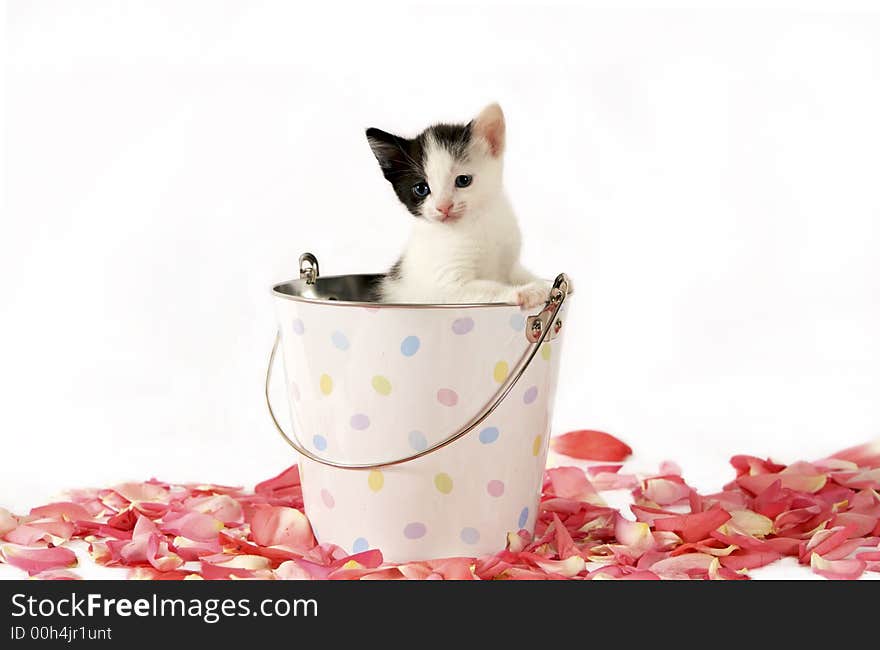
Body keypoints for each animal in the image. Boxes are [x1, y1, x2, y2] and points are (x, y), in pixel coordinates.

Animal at [364, 103, 552, 308]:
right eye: (421, 189)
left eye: (463, 180)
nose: (443, 206)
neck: (474, 224)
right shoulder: (446, 288)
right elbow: (489, 287)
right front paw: (526, 291)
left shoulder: (510, 261)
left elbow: (518, 272)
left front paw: (545, 285)